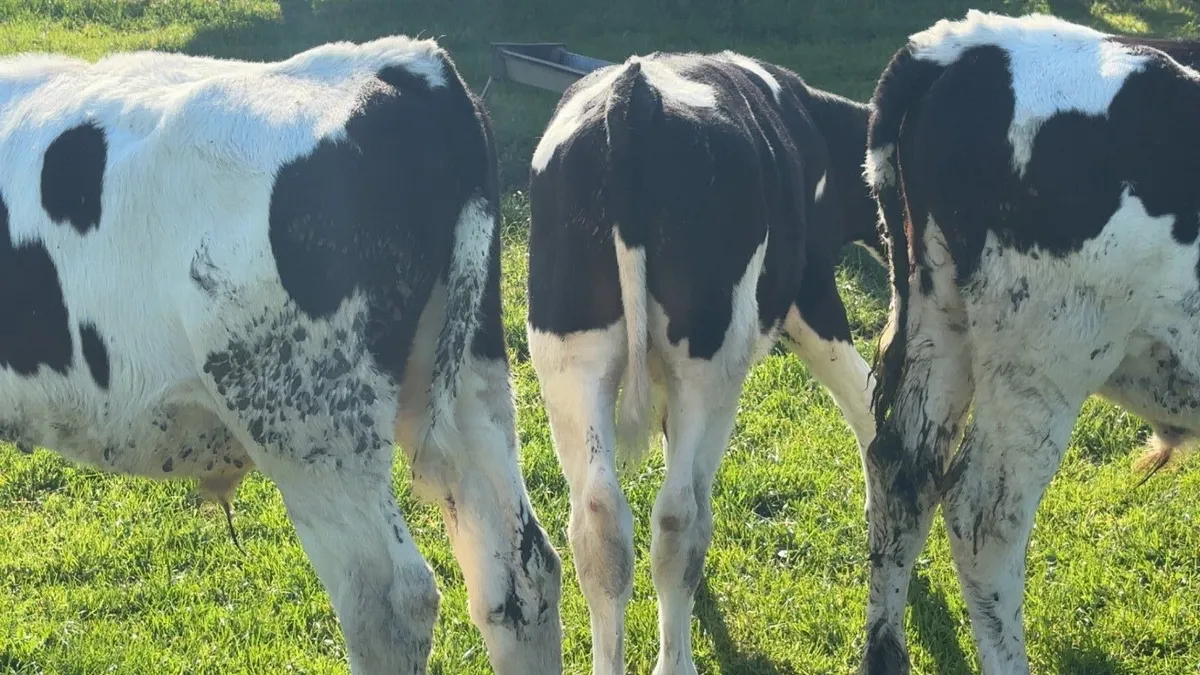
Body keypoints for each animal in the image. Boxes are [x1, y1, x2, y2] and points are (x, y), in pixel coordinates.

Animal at [526, 50, 884, 674]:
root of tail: (634, 95)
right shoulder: (813, 297)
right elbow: (868, 405)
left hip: (567, 357)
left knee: (599, 517)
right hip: (711, 365)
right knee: (680, 514)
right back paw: (677, 660)